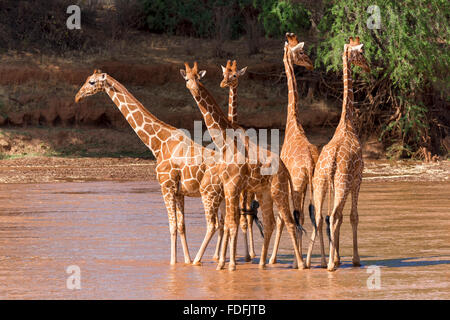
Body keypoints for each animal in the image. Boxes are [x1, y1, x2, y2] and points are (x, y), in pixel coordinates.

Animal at [76, 70, 229, 268]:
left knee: (213, 224)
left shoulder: (166, 186)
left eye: (92, 82)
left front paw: (173, 263)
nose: (77, 96)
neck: (158, 143)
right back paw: (220, 261)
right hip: (222, 196)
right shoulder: (179, 192)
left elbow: (172, 226)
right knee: (226, 224)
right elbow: (181, 225)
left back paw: (199, 260)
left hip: (208, 193)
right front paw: (185, 260)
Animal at [180, 62, 306, 270]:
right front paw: (223, 262)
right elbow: (229, 222)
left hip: (278, 190)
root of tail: (285, 169)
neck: (226, 141)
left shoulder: (234, 186)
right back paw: (262, 263)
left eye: (198, 77)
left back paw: (300, 265)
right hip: (264, 192)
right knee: (271, 222)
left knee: (288, 221)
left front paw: (229, 264)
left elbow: (233, 223)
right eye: (187, 78)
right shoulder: (228, 186)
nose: (194, 88)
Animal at [304, 37, 370, 272]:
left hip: (321, 183)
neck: (347, 124)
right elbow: (352, 216)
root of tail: (331, 163)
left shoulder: (333, 185)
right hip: (341, 183)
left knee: (319, 216)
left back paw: (311, 262)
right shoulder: (358, 178)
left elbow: (340, 218)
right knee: (331, 216)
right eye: (361, 53)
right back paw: (331, 264)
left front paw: (340, 256)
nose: (368, 66)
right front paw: (354, 259)